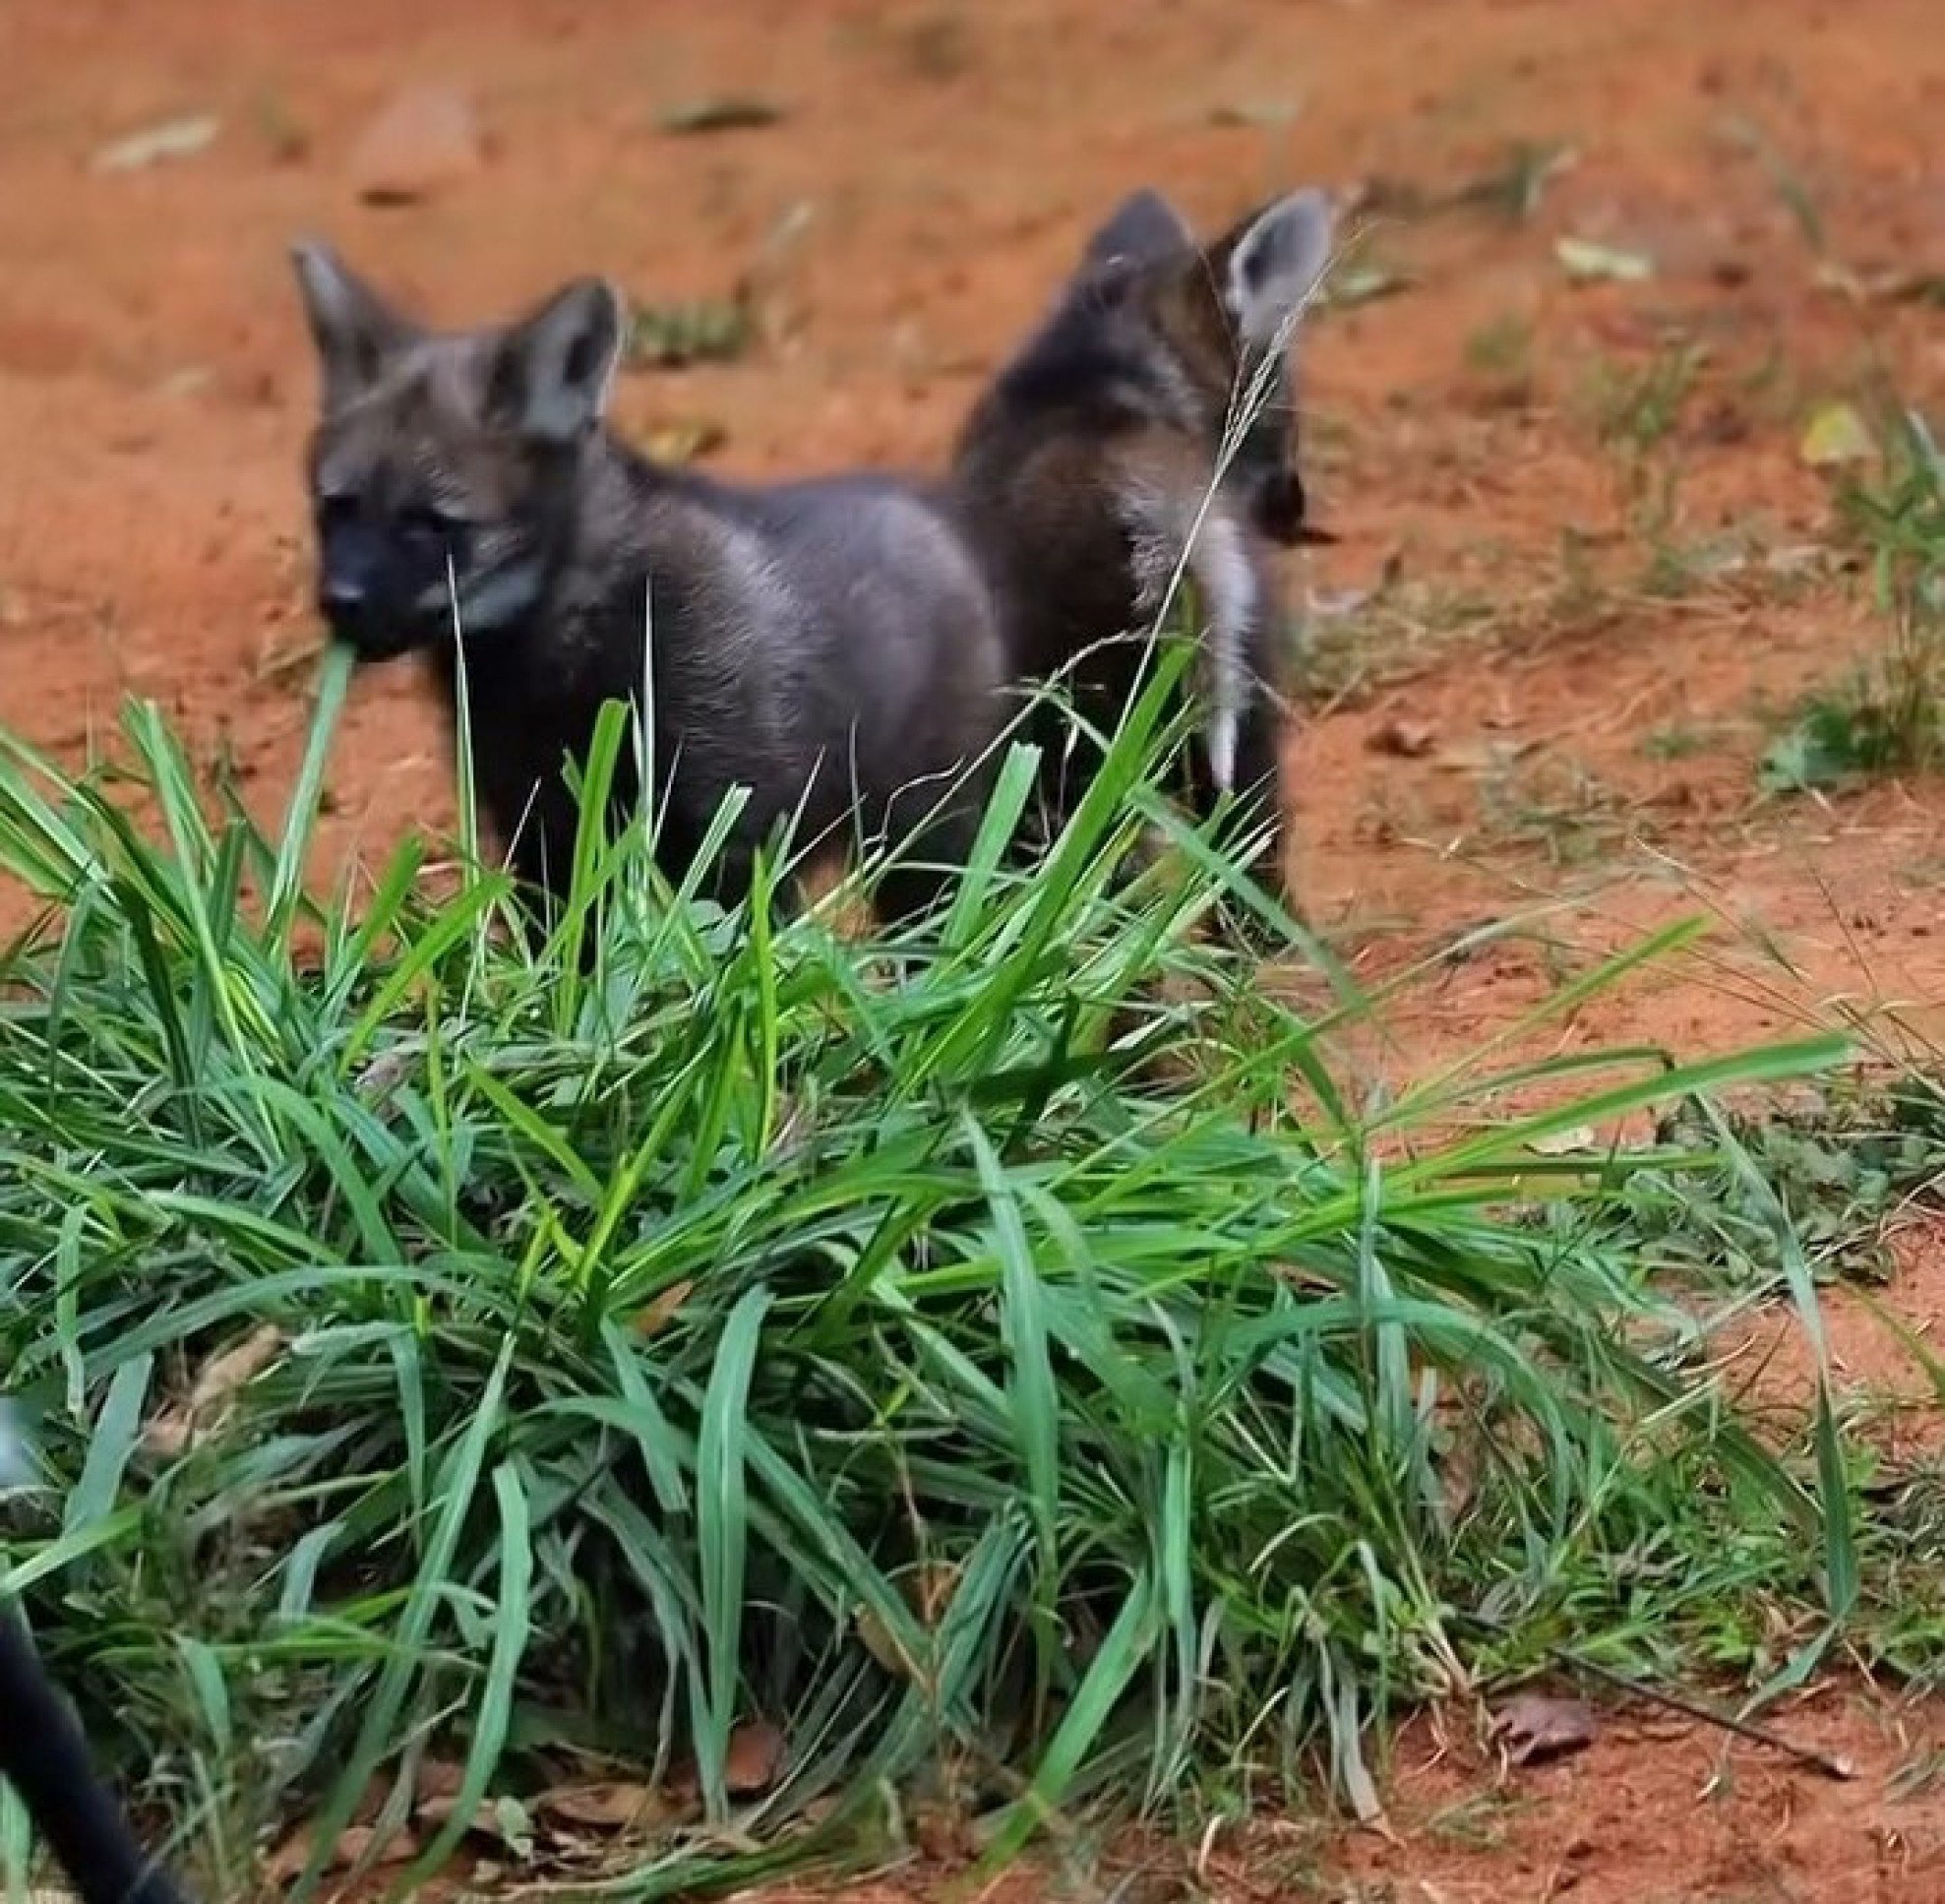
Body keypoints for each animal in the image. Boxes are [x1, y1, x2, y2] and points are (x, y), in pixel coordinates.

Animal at [289, 245, 1010, 935]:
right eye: (335, 508)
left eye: (430, 524)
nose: (339, 601)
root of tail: (942, 520)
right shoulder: (542, 831)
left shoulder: (730, 826)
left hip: (924, 842)